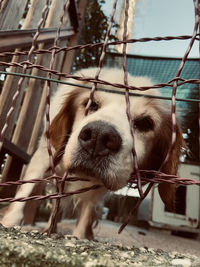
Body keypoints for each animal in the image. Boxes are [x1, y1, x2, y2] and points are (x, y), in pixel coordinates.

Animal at [0, 68, 184, 240]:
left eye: (146, 123)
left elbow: (86, 212)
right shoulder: (45, 156)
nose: (98, 137)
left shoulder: (98, 187)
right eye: (91, 104)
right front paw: (10, 221)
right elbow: (26, 188)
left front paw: (80, 235)